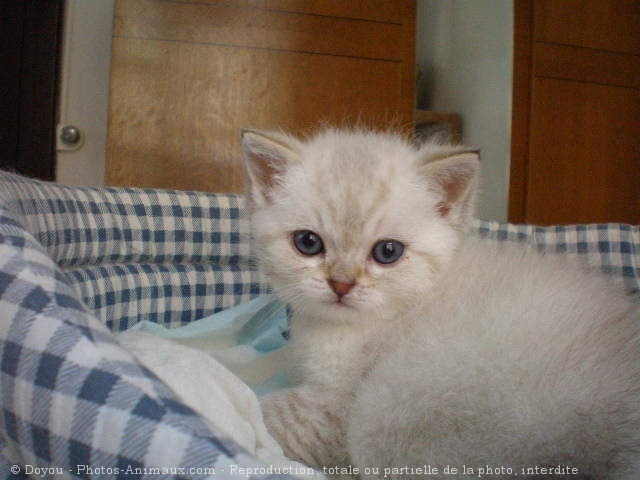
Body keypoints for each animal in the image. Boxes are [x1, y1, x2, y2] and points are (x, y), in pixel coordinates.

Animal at [241, 125, 640, 478]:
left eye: (387, 252)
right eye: (308, 243)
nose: (341, 284)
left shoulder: (328, 414)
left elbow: (260, 409)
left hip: (381, 412)